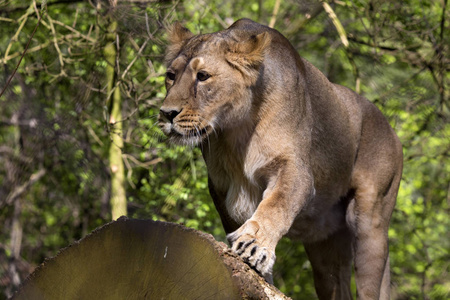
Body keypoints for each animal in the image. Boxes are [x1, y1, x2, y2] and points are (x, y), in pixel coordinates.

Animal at [159, 19, 404, 300]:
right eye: (171, 75)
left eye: (203, 76)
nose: (166, 113)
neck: (234, 134)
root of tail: (393, 132)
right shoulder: (221, 187)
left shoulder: (295, 170)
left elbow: (276, 205)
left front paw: (254, 245)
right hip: (325, 250)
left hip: (370, 222)